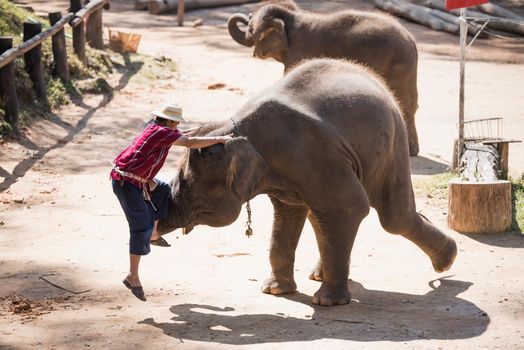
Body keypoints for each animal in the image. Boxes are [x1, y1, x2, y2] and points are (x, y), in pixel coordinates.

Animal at [158, 59, 456, 306]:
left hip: (393, 143)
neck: (236, 127)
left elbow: (351, 207)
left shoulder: (315, 155)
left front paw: (326, 303)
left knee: (394, 218)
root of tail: (374, 79)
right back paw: (319, 274)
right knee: (320, 215)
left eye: (191, 193)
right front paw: (275, 291)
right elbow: (288, 215)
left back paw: (447, 260)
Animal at [227, 0, 420, 156]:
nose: (246, 16)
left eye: (251, 30)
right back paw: (413, 151)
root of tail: (411, 41)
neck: (292, 16)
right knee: (411, 103)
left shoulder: (299, 51)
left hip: (398, 66)